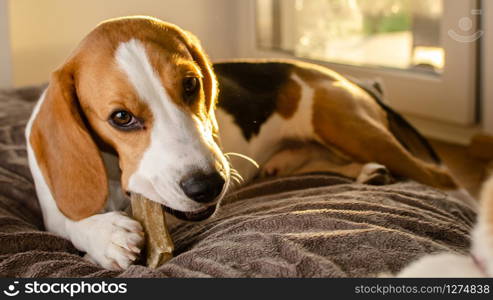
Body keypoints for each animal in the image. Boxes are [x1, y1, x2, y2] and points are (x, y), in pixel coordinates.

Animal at [26, 15, 458, 270]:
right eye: (120, 118)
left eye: (191, 84)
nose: (207, 186)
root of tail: (344, 77)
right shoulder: (49, 206)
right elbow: (66, 220)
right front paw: (105, 236)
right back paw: (367, 173)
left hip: (347, 126)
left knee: (440, 177)